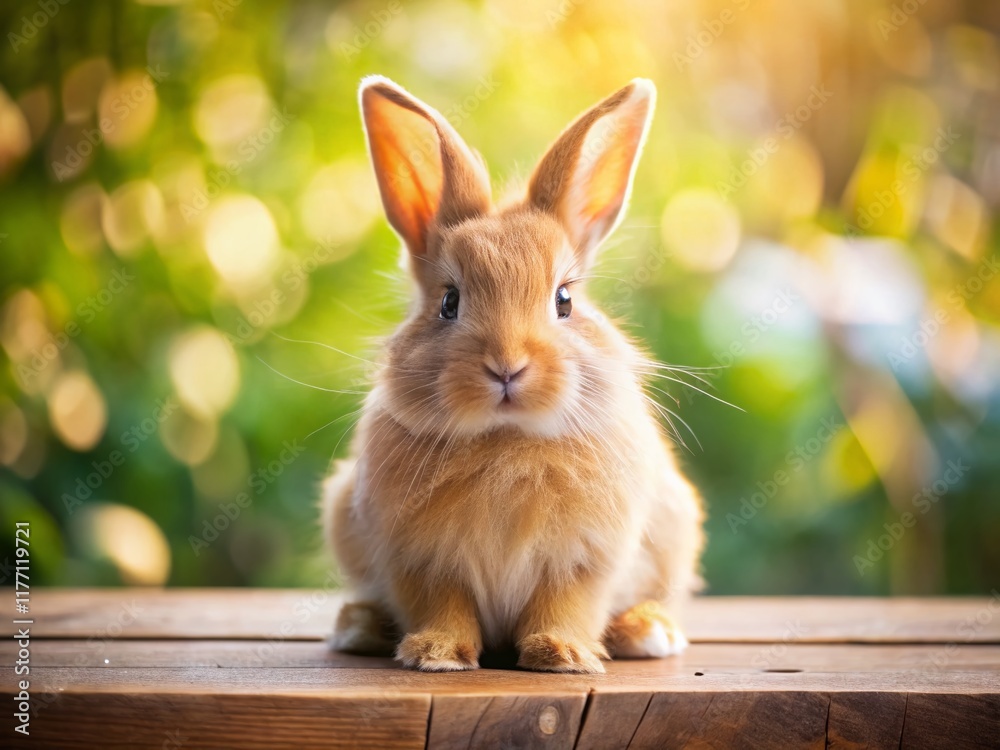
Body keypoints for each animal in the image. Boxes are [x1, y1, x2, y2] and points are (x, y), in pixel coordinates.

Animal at [321, 75, 704, 673]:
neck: (508, 441)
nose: (507, 365)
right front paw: (436, 654)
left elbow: (565, 605)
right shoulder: (422, 560)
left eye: (564, 300)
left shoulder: (583, 561)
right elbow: (443, 605)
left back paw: (648, 631)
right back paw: (359, 626)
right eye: (449, 302)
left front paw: (561, 654)